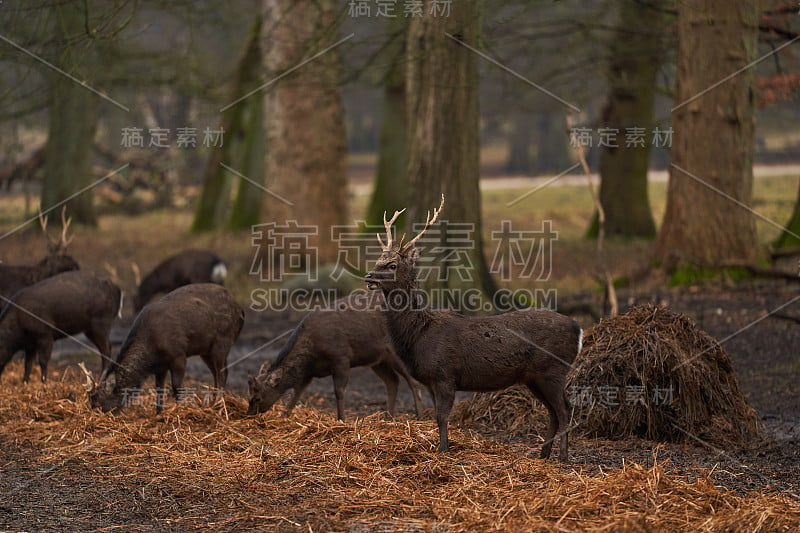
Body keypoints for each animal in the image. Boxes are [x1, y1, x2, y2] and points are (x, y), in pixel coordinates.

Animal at [86, 282, 244, 412]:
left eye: (99, 404)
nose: (96, 411)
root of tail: (240, 310)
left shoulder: (178, 354)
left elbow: (176, 385)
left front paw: (180, 409)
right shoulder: (160, 366)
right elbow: (159, 389)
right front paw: (158, 413)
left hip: (223, 340)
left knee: (222, 372)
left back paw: (218, 404)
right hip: (206, 350)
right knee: (218, 372)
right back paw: (213, 402)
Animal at [247, 288, 424, 418]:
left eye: (257, 398)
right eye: (249, 397)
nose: (248, 414)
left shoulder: (341, 357)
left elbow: (338, 391)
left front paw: (341, 419)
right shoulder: (308, 372)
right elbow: (297, 392)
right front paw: (285, 416)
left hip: (395, 351)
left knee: (413, 381)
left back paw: (419, 416)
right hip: (378, 360)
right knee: (393, 381)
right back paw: (388, 418)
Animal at [366, 195, 584, 462]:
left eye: (393, 265)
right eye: (378, 260)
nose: (369, 277)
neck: (419, 335)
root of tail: (578, 328)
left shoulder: (445, 374)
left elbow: (442, 417)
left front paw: (444, 450)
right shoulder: (430, 381)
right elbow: (436, 417)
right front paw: (441, 448)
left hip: (552, 368)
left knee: (565, 408)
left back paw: (562, 456)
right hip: (534, 377)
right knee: (553, 410)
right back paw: (543, 454)